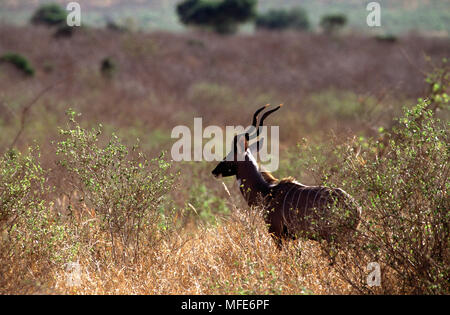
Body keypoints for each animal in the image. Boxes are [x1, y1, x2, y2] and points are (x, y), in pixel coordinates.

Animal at [212, 106, 362, 249]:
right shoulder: (293, 237)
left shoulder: (277, 233)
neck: (267, 191)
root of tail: (356, 207)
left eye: (229, 155)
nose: (214, 171)